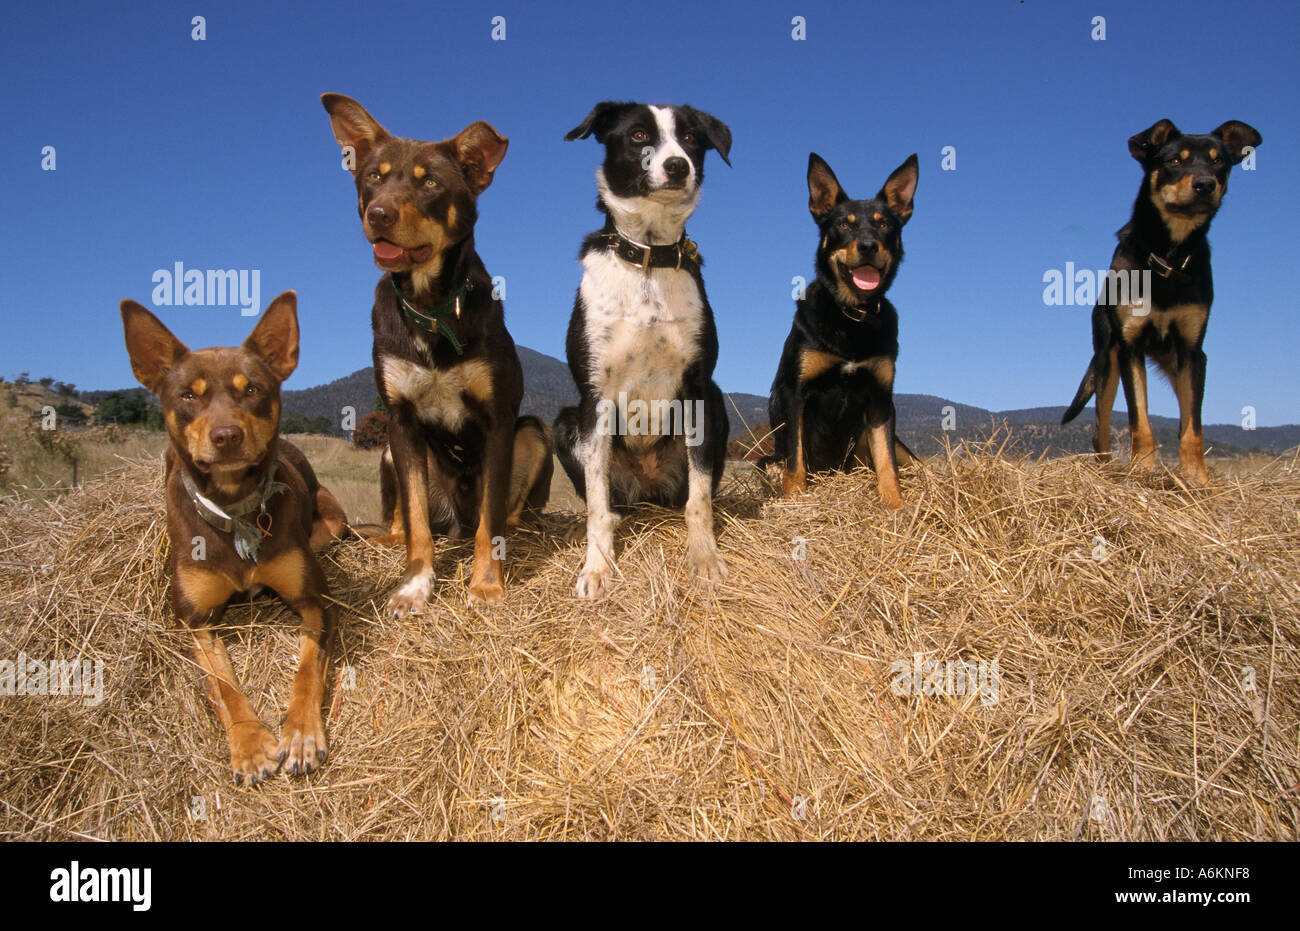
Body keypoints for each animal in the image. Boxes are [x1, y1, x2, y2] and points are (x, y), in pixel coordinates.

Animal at [118, 291, 345, 785]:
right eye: (188, 394)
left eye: (253, 389)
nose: (226, 436)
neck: (236, 509)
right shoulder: (193, 619)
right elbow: (222, 683)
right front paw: (250, 745)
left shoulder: (316, 601)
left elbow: (307, 668)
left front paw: (301, 734)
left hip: (332, 525)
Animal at [548, 102, 733, 595]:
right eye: (637, 135)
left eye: (690, 138)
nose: (677, 166)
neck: (649, 258)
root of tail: (647, 490)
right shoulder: (594, 398)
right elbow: (596, 507)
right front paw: (597, 568)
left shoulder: (698, 388)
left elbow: (699, 499)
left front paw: (704, 556)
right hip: (563, 422)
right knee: (610, 505)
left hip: (716, 405)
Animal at [759, 152, 925, 504]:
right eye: (843, 224)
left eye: (884, 223)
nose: (867, 246)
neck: (852, 316)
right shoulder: (796, 393)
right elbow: (795, 462)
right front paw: (797, 500)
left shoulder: (880, 400)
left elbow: (887, 463)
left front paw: (895, 503)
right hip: (766, 459)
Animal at [1066, 118, 1258, 483]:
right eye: (1174, 161)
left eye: (1219, 162)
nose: (1205, 184)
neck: (1169, 256)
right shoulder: (1130, 347)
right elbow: (1140, 421)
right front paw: (1142, 470)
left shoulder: (1193, 352)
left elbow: (1193, 427)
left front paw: (1196, 478)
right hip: (1107, 361)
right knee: (1100, 429)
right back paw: (1106, 470)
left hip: (1177, 364)